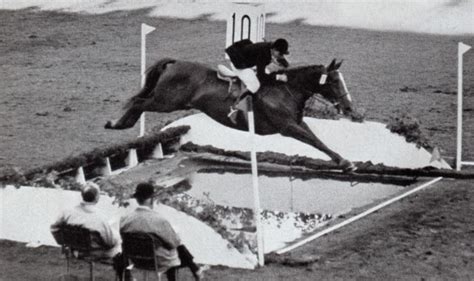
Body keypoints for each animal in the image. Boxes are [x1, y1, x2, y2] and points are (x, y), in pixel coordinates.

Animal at [103, 58, 356, 170]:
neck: (286, 89)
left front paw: (342, 160)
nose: (349, 108)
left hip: (169, 102)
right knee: (139, 102)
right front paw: (345, 162)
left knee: (139, 102)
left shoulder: (297, 123)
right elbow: (314, 141)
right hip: (166, 101)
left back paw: (120, 124)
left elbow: (318, 141)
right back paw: (117, 124)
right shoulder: (287, 127)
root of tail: (173, 64)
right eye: (334, 81)